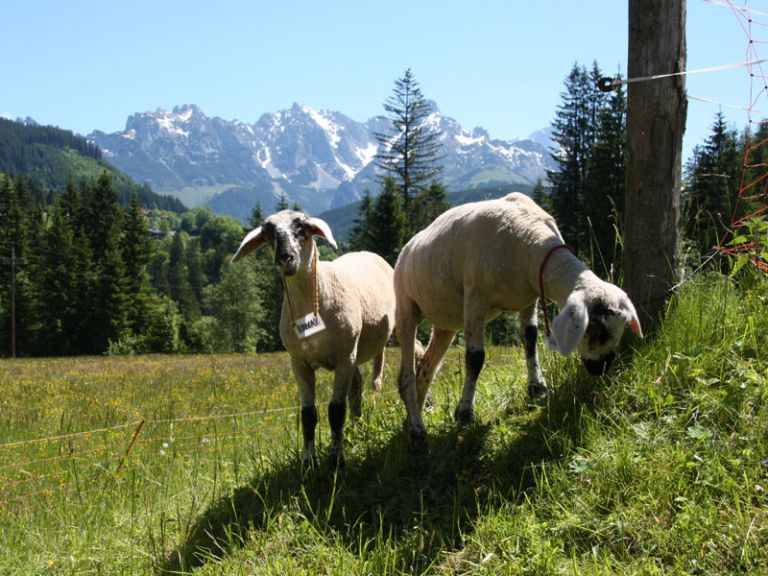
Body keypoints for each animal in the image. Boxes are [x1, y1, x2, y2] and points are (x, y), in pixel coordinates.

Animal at [232, 210, 395, 468]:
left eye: (303, 230)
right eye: (268, 235)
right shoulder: (300, 361)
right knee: (357, 387)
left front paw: (336, 460)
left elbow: (336, 411)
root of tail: (368, 253)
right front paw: (308, 462)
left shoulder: (343, 357)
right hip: (353, 352)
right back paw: (358, 429)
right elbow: (308, 414)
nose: (285, 258)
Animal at [394, 192, 643, 452]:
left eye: (621, 330)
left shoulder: (530, 297)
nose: (601, 368)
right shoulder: (475, 298)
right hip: (406, 305)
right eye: (593, 330)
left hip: (445, 321)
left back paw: (413, 416)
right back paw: (417, 433)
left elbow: (530, 338)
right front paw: (464, 413)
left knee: (426, 368)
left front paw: (537, 388)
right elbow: (475, 358)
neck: (528, 240)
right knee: (407, 375)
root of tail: (408, 247)